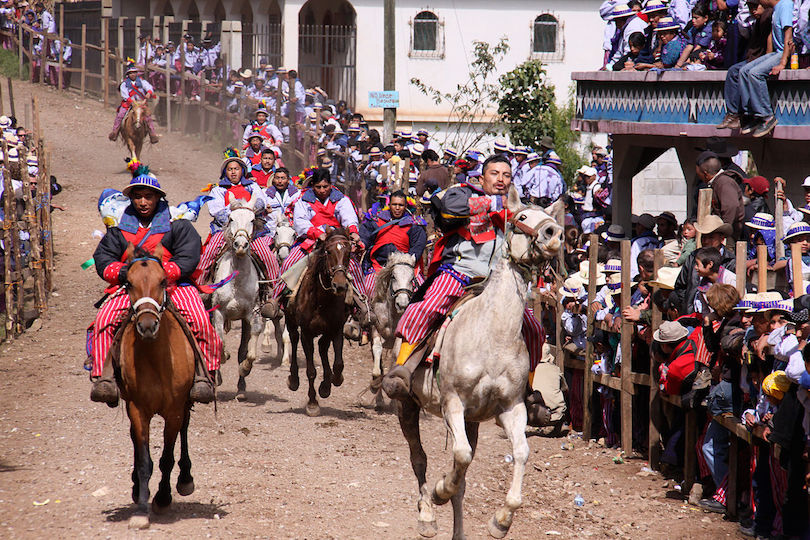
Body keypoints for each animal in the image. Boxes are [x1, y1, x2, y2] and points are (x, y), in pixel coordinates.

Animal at [117, 244, 196, 528]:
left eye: (163, 281)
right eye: (128, 283)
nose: (148, 326)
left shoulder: (174, 410)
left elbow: (166, 458)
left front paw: (162, 498)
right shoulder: (137, 409)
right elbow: (144, 461)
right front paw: (142, 507)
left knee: (185, 429)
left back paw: (185, 479)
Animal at [210, 194, 264, 392]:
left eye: (252, 220)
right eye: (231, 218)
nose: (241, 245)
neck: (237, 281)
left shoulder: (251, 313)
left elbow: (248, 350)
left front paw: (245, 368)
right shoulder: (218, 312)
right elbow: (219, 340)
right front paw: (224, 357)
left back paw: (241, 388)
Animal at [282, 226, 348, 416]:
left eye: (349, 252)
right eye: (328, 251)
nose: (340, 285)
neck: (321, 300)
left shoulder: (336, 329)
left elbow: (338, 364)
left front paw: (332, 382)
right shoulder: (307, 334)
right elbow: (311, 371)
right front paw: (312, 403)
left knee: (323, 347)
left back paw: (326, 385)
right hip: (291, 323)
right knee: (294, 339)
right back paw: (293, 379)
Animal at [368, 251, 414, 390]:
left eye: (412, 279)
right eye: (393, 276)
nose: (402, 304)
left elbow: (396, 352)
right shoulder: (375, 329)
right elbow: (377, 348)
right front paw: (376, 377)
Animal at [394, 187, 560, 540]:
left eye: (549, 218)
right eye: (523, 216)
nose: (553, 234)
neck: (493, 334)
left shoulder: (511, 408)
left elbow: (520, 453)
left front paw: (501, 521)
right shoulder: (452, 402)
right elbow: (460, 455)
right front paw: (440, 490)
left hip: (471, 421)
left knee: (462, 478)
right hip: (408, 406)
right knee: (419, 458)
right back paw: (427, 513)